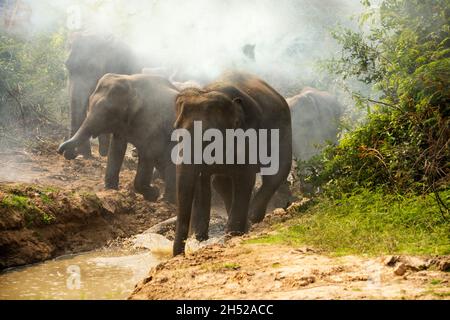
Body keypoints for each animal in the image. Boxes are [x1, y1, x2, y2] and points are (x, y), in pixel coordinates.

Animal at [171, 70, 292, 255]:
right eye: (177, 130)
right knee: (220, 182)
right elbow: (201, 180)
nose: (181, 253)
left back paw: (252, 219)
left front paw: (231, 235)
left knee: (277, 173)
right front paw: (200, 238)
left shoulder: (250, 134)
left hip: (284, 129)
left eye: (209, 138)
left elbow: (245, 178)